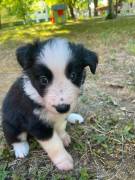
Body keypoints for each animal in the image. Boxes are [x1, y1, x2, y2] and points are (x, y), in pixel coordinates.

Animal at [2, 37, 98, 170]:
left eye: (73, 75)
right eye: (43, 80)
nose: (63, 108)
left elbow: (61, 126)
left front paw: (63, 136)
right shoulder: (37, 123)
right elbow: (54, 144)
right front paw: (64, 161)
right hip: (10, 123)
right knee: (14, 136)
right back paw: (21, 148)